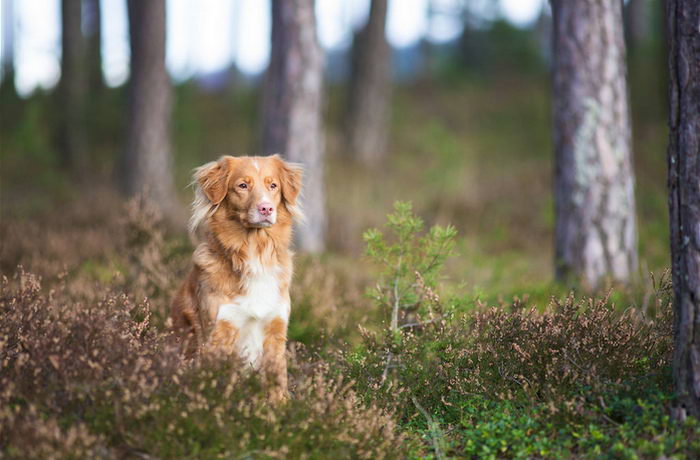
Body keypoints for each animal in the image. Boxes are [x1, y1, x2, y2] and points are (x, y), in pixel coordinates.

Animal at [171, 154, 302, 398]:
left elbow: (277, 383)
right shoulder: (219, 332)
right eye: (242, 186)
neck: (254, 254)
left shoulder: (276, 330)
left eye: (273, 186)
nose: (266, 208)